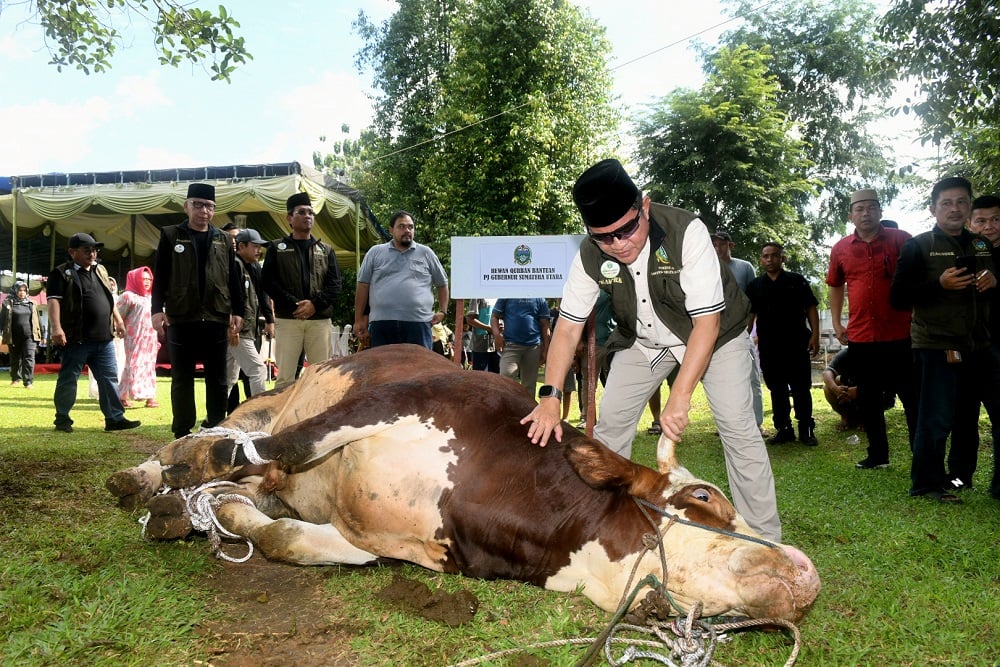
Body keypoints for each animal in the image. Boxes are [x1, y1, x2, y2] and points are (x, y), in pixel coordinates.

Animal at [107, 344, 820, 620]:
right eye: (705, 496)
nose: (806, 574)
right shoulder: (393, 401)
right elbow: (282, 445)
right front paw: (185, 482)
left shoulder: (390, 544)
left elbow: (289, 538)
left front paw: (221, 519)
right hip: (277, 395)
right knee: (219, 435)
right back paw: (145, 476)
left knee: (255, 477)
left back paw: (184, 509)